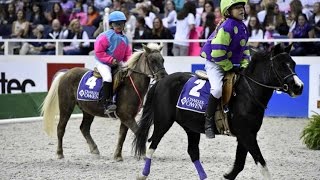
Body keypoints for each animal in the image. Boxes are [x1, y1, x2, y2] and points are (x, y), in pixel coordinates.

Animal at [40, 43, 168, 160]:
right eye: (152, 60)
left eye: (162, 60)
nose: (163, 77)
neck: (131, 85)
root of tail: (65, 74)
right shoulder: (126, 117)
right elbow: (139, 133)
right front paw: (143, 154)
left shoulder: (127, 117)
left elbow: (122, 135)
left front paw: (118, 156)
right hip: (66, 107)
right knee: (61, 128)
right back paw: (59, 153)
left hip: (88, 110)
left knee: (84, 128)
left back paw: (94, 149)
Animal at [134, 44, 304, 179]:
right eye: (281, 66)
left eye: (293, 64)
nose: (299, 86)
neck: (247, 93)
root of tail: (162, 81)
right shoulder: (246, 135)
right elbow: (262, 165)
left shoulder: (246, 135)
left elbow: (239, 165)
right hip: (163, 122)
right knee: (152, 147)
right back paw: (143, 174)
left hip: (191, 128)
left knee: (193, 152)